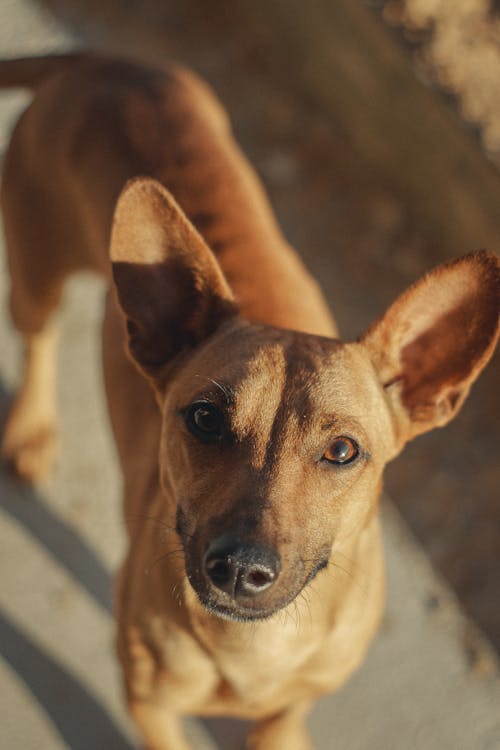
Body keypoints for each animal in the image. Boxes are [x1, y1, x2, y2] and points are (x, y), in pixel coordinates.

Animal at [0, 54, 498, 750]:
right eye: (205, 419)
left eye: (343, 450)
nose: (240, 569)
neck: (254, 650)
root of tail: (110, 65)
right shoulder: (148, 704)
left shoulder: (302, 694)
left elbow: (281, 722)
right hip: (35, 268)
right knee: (37, 337)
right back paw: (31, 429)